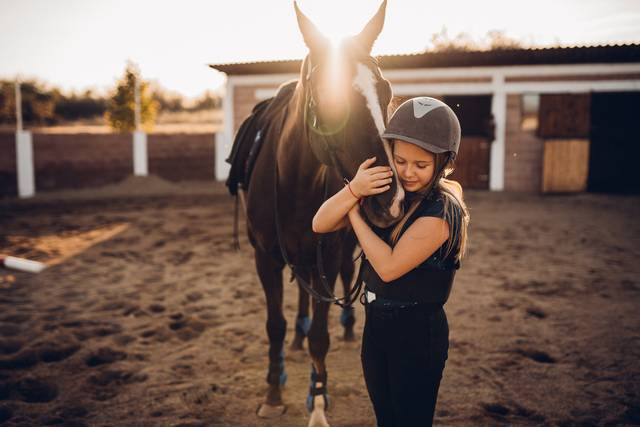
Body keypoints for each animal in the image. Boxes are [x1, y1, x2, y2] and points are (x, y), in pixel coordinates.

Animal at [240, 1, 404, 426]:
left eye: (386, 91)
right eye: (330, 96)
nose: (391, 199)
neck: (295, 181)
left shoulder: (327, 256)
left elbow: (321, 336)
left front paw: (317, 401)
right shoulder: (265, 257)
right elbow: (275, 325)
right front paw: (274, 391)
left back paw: (345, 330)